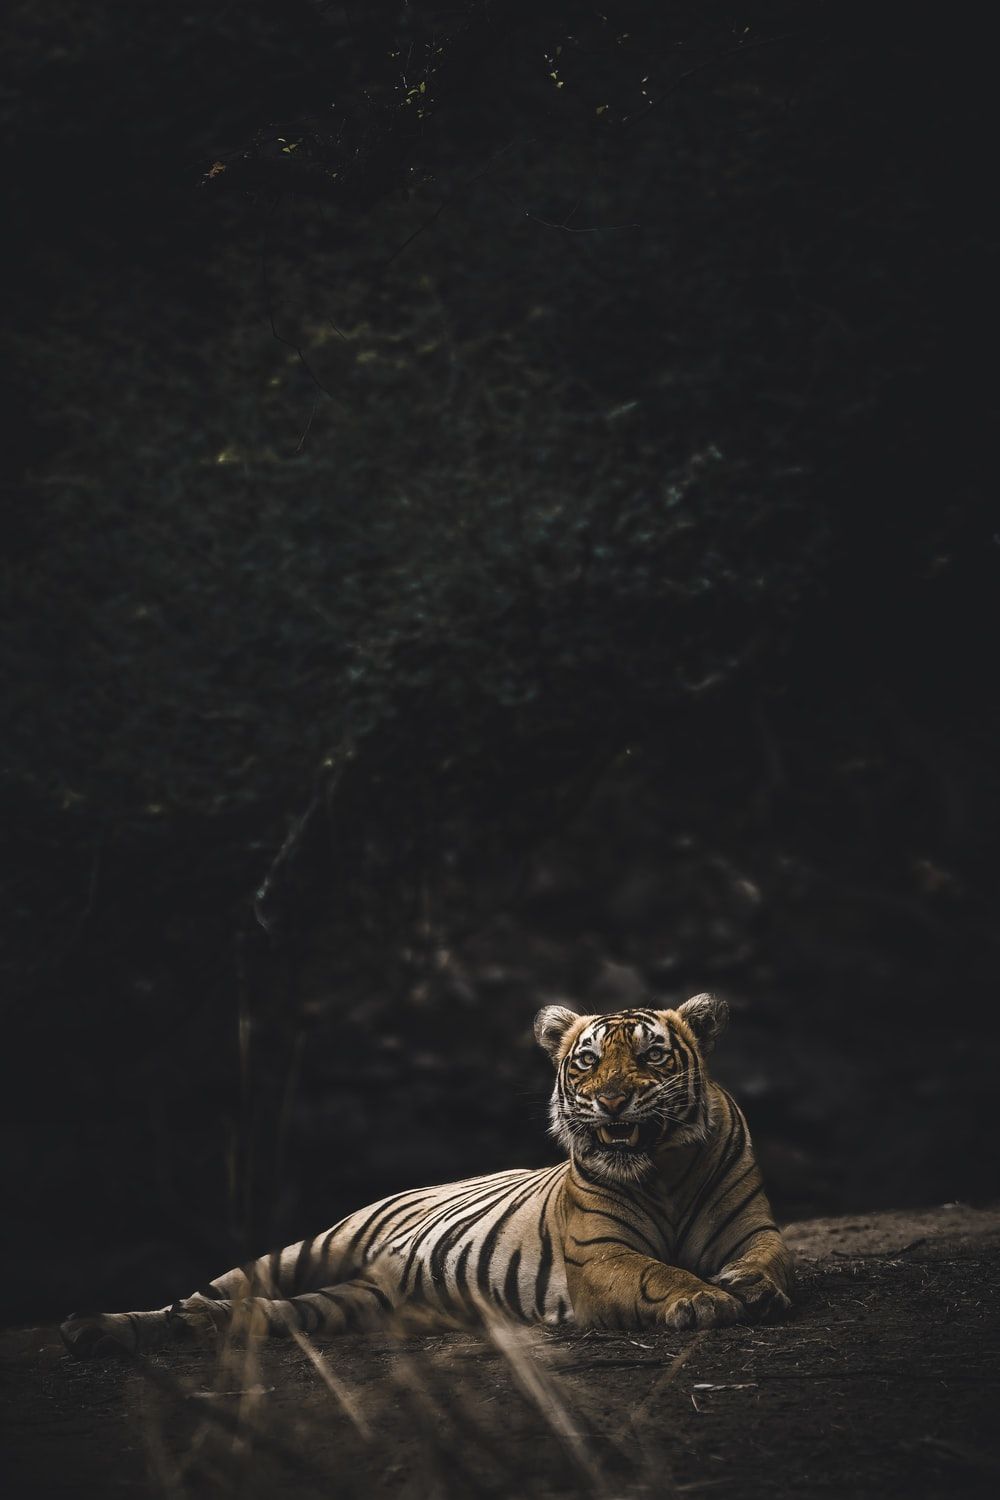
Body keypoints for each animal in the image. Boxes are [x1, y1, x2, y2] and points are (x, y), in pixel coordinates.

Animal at [60, 993, 793, 1358]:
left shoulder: (752, 1229)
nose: (612, 1102)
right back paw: (106, 1327)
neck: (663, 1171)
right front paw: (703, 1299)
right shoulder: (600, 1256)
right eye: (587, 1062)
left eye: (651, 1056)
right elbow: (656, 1273)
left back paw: (202, 1327)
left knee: (263, 1313)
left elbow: (769, 1258)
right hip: (309, 1248)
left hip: (351, 1303)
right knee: (210, 1290)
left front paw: (750, 1288)